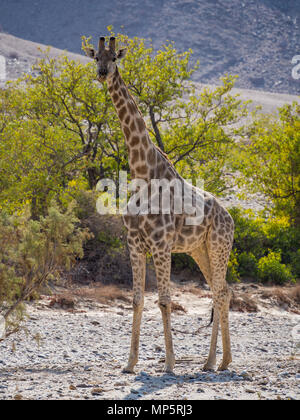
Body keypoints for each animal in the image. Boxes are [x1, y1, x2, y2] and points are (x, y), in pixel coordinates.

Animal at [84, 35, 234, 370]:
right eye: (96, 57)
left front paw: (169, 364)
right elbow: (137, 299)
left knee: (221, 291)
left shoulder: (161, 244)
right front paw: (129, 364)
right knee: (220, 291)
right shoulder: (135, 243)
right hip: (199, 250)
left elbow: (165, 300)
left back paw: (221, 362)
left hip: (219, 246)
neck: (142, 172)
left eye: (115, 58)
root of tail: (231, 219)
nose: (102, 73)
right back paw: (211, 362)